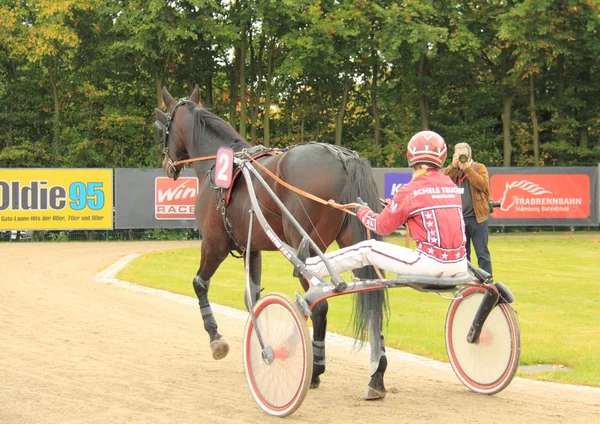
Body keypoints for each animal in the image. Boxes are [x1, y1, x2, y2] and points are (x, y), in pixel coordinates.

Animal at [152, 85, 390, 398]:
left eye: (162, 126)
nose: (167, 166)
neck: (220, 164)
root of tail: (342, 157)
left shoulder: (214, 244)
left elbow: (199, 284)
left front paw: (216, 339)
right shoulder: (251, 249)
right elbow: (252, 298)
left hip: (307, 251)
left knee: (319, 306)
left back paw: (316, 368)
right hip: (354, 242)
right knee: (372, 302)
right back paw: (376, 376)